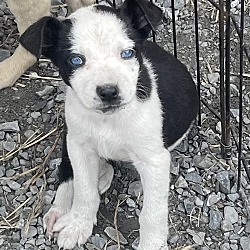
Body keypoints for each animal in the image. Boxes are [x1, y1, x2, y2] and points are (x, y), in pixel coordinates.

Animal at [20, 0, 199, 249]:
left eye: (128, 53)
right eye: (76, 60)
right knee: (67, 170)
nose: (108, 91)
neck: (108, 120)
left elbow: (152, 212)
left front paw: (151, 243)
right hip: (70, 135)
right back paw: (62, 209)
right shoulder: (80, 146)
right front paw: (78, 224)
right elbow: (84, 188)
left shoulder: (154, 161)